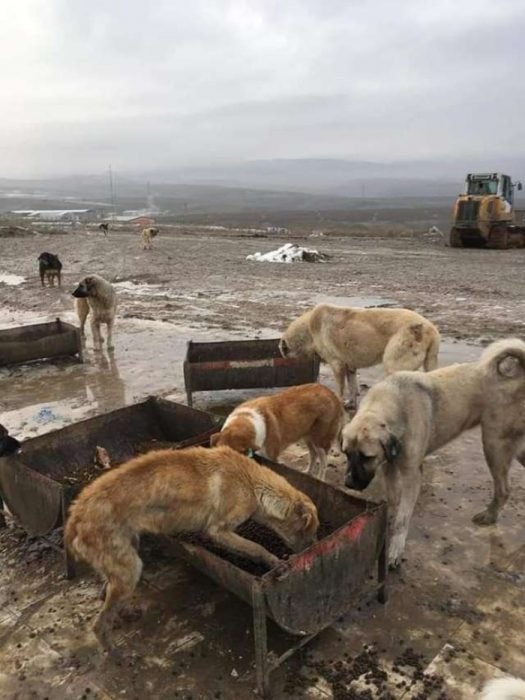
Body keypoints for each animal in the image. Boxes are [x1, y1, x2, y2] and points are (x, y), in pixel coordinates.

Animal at [65, 448, 320, 656]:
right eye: (309, 532)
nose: (314, 548)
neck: (252, 483)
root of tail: (76, 513)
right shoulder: (218, 531)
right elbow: (257, 548)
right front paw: (275, 562)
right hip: (130, 567)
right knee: (99, 624)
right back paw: (117, 652)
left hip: (126, 557)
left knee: (106, 592)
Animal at [210, 382, 344, 482]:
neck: (246, 419)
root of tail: (331, 393)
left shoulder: (271, 457)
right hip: (308, 437)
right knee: (313, 455)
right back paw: (308, 472)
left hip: (320, 440)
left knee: (323, 461)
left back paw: (320, 478)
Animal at [280, 304, 440, 408]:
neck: (308, 330)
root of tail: (430, 329)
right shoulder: (350, 365)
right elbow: (352, 385)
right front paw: (351, 402)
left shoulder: (336, 364)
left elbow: (340, 387)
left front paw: (339, 402)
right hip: (429, 361)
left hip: (395, 363)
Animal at [340, 340, 524, 568]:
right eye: (346, 453)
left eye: (367, 457)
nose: (348, 484)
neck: (392, 405)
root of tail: (517, 375)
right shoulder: (389, 468)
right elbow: (394, 502)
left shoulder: (412, 476)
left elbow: (403, 518)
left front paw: (395, 549)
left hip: (494, 446)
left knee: (504, 489)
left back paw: (489, 515)